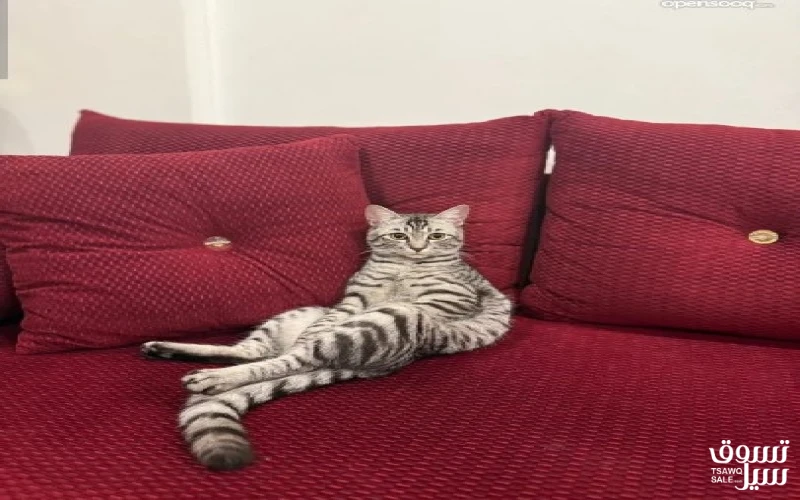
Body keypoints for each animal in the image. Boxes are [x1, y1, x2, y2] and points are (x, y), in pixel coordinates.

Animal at [142, 204, 512, 470]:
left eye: (436, 236)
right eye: (397, 236)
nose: (418, 249)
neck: (403, 269)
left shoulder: (442, 301)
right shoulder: (353, 300)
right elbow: (332, 317)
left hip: (385, 322)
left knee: (282, 360)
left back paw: (212, 378)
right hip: (293, 317)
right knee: (256, 352)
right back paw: (163, 349)